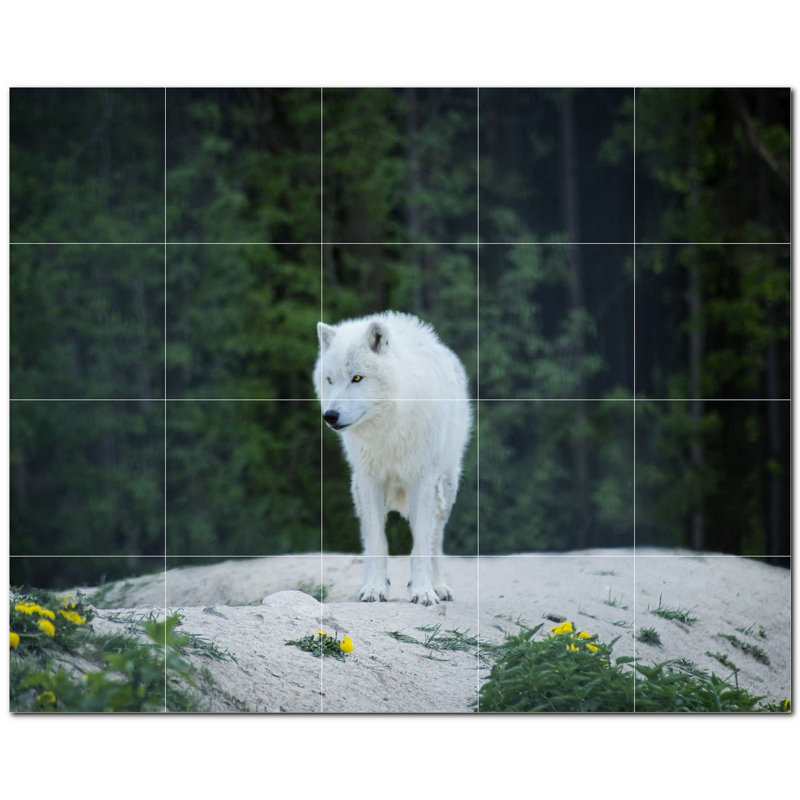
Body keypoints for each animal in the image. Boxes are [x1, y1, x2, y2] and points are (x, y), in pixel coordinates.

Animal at [313, 311, 471, 605]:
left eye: (357, 378)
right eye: (330, 380)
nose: (329, 416)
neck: (387, 428)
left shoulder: (422, 480)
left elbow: (421, 546)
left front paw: (423, 591)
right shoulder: (369, 480)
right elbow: (377, 542)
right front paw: (375, 589)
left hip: (445, 489)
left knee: (435, 541)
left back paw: (439, 586)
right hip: (358, 492)